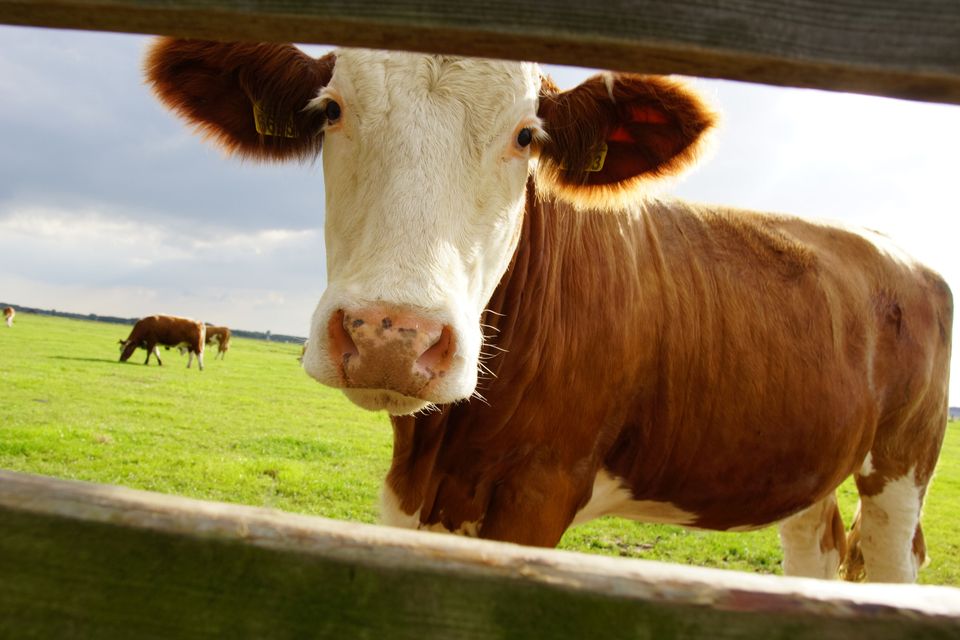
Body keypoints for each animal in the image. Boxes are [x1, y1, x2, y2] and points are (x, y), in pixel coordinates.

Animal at [146, 39, 952, 583]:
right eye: (331, 111)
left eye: (527, 135)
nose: (391, 336)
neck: (442, 449)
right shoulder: (411, 496)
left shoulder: (539, 493)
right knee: (816, 546)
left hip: (903, 468)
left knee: (891, 560)